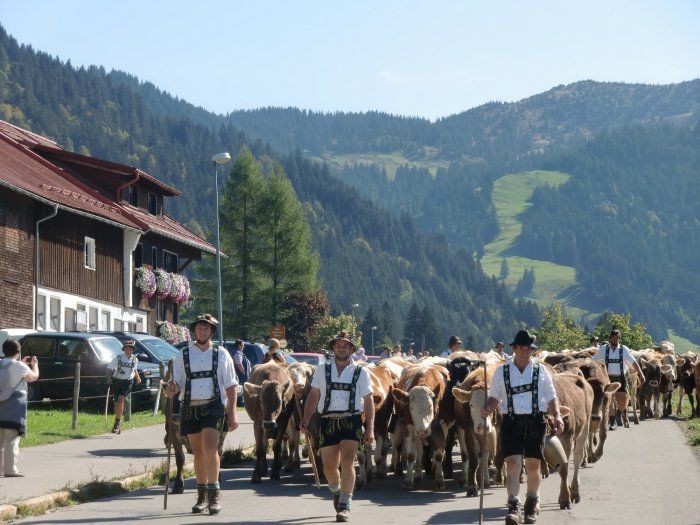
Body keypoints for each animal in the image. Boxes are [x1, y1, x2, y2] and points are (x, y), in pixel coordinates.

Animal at [392, 360, 446, 488]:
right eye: (411, 407)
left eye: (430, 406)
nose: (423, 430)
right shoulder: (410, 427)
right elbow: (412, 455)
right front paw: (408, 480)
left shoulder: (442, 425)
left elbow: (439, 453)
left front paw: (439, 479)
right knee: (419, 451)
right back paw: (417, 474)